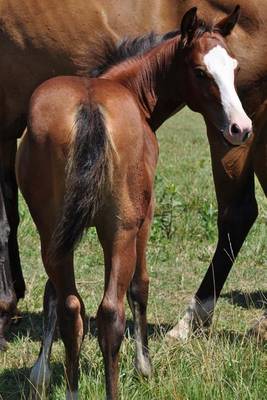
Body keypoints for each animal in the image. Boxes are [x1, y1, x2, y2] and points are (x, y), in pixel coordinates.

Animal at [15, 6, 250, 400]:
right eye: (200, 72)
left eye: (233, 68)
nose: (241, 128)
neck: (126, 88)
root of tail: (90, 106)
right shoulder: (145, 216)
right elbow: (141, 286)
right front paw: (145, 367)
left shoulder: (59, 233)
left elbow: (50, 296)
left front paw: (40, 373)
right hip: (121, 229)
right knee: (111, 311)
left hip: (53, 233)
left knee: (70, 306)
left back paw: (72, 390)